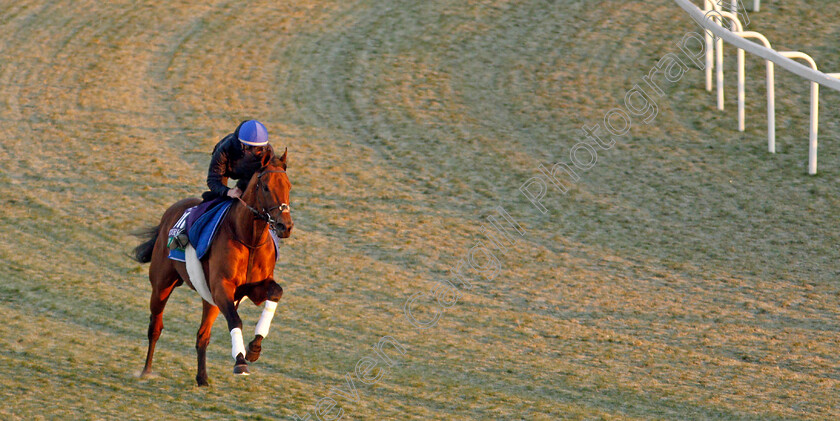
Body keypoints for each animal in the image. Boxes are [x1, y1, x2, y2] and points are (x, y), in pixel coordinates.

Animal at [129, 149, 292, 386]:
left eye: (288, 186)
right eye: (266, 187)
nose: (285, 226)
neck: (248, 238)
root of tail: (170, 212)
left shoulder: (252, 288)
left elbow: (276, 292)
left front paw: (254, 347)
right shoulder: (221, 288)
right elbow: (235, 319)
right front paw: (240, 361)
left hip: (209, 299)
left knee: (202, 336)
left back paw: (202, 377)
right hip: (162, 285)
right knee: (155, 327)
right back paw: (146, 370)